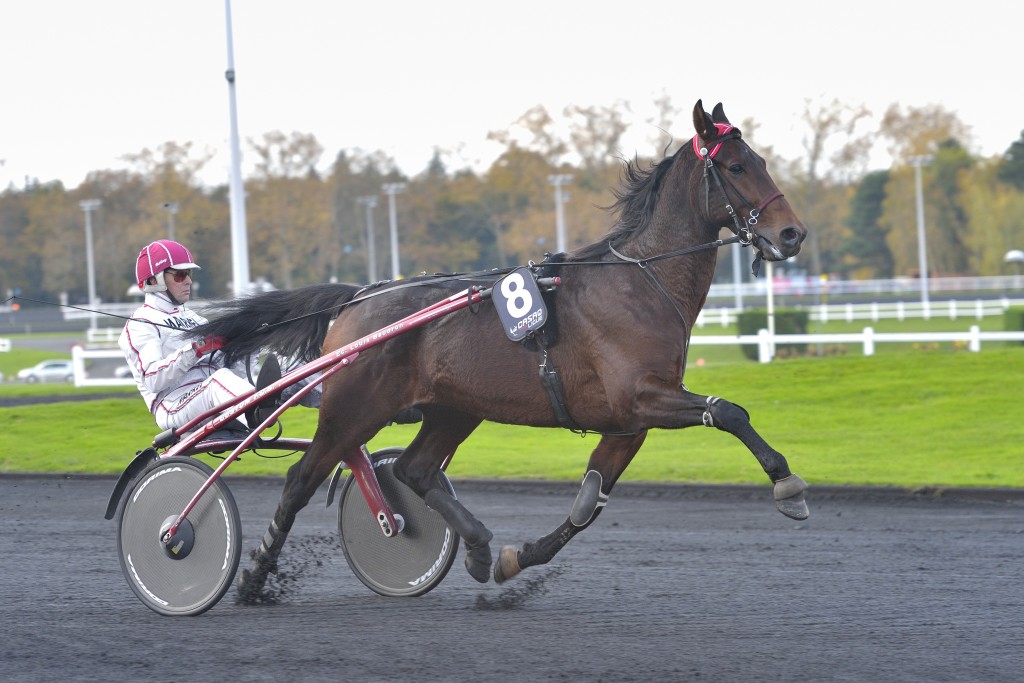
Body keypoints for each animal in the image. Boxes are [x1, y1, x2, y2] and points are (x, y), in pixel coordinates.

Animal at [195, 100, 811, 598]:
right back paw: (252, 577)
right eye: (736, 167)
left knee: (416, 471)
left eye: (760, 160)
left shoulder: (628, 422)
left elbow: (588, 503)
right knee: (302, 480)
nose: (791, 234)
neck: (641, 283)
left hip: (454, 408)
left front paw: (518, 558)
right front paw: (788, 485)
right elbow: (729, 412)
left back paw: (477, 544)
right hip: (354, 408)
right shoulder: (643, 398)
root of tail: (360, 297)